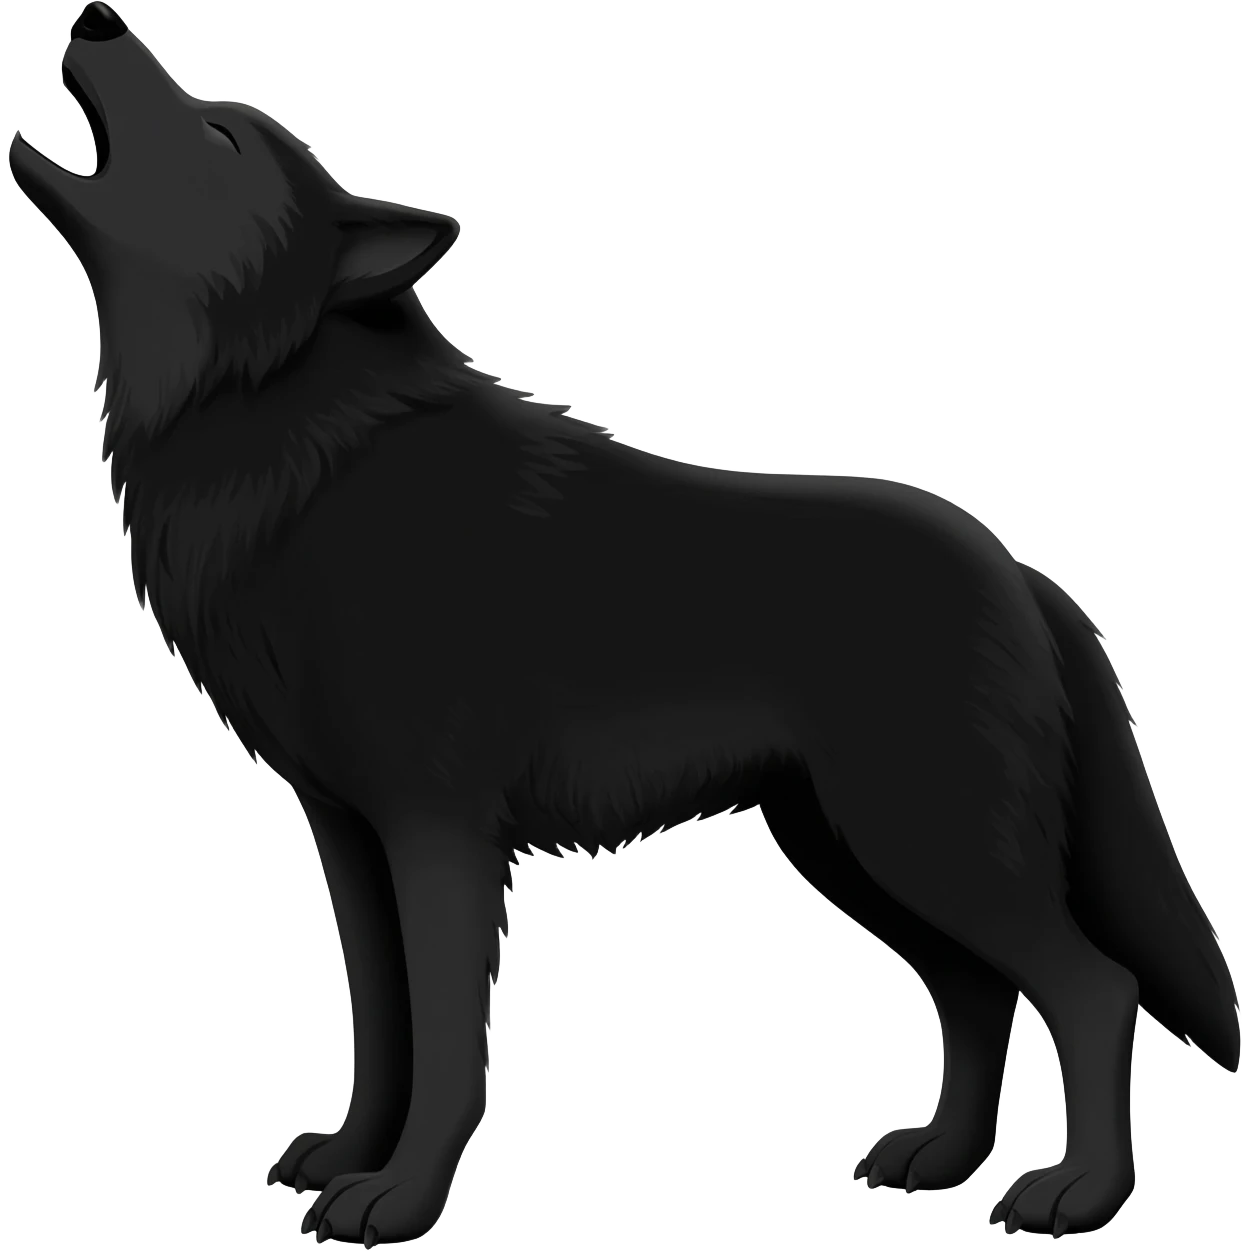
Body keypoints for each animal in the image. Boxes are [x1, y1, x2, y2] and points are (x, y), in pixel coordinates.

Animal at [10, 4, 1242, 1246]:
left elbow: (445, 1045)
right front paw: (351, 1158)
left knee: (1093, 989)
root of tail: (1023, 571)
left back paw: (1078, 1192)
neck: (290, 446)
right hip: (853, 851)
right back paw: (941, 1158)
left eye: (219, 138)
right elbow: (383, 1031)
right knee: (980, 993)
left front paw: (401, 1199)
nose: (97, 17)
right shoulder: (348, 835)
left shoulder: (439, 833)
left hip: (923, 846)